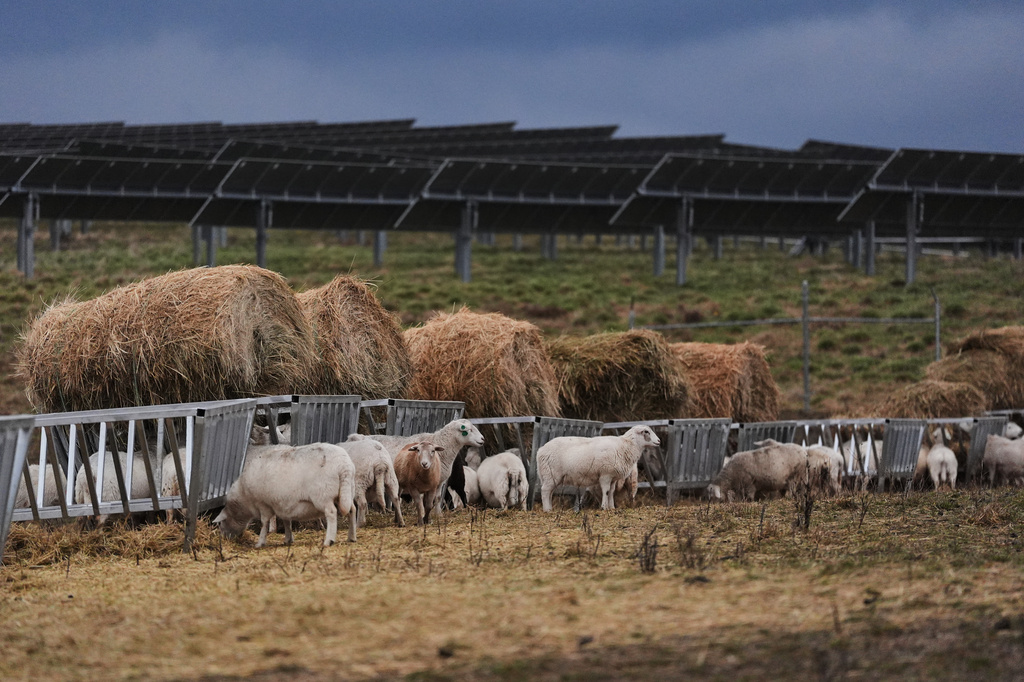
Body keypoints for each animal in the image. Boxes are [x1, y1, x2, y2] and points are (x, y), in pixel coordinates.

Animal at [214, 442, 357, 547]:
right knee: (352, 509)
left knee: (331, 513)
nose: (224, 538)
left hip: (323, 495)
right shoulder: (283, 503)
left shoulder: (263, 503)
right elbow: (286, 520)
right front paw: (288, 539)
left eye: (220, 524)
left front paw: (260, 542)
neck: (244, 497)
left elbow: (264, 522)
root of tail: (344, 466)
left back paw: (329, 541)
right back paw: (352, 537)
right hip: (347, 491)